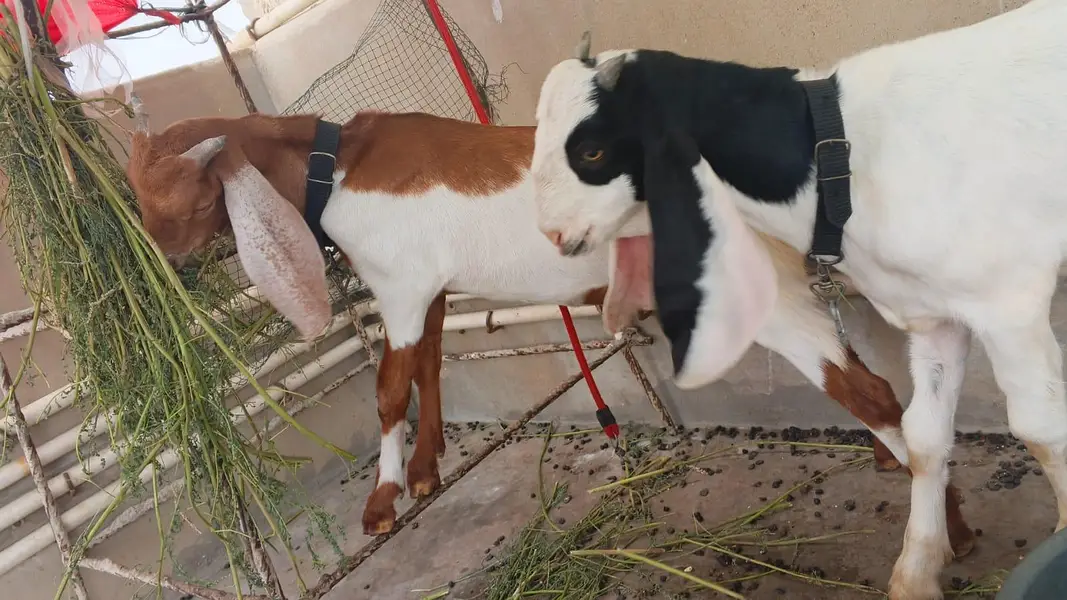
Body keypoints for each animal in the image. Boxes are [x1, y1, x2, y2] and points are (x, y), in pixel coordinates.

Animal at [124, 103, 967, 545]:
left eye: (182, 202)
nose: (166, 264)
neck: (338, 167)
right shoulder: (430, 294)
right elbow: (430, 369)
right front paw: (427, 470)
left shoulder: (400, 289)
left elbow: (390, 391)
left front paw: (382, 498)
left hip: (768, 300)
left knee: (869, 393)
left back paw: (944, 530)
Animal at [528, 1, 1067, 597]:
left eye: (591, 149)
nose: (552, 233)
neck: (839, 162)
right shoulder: (930, 315)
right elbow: (924, 437)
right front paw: (916, 573)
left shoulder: (1008, 302)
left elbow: (1042, 429)